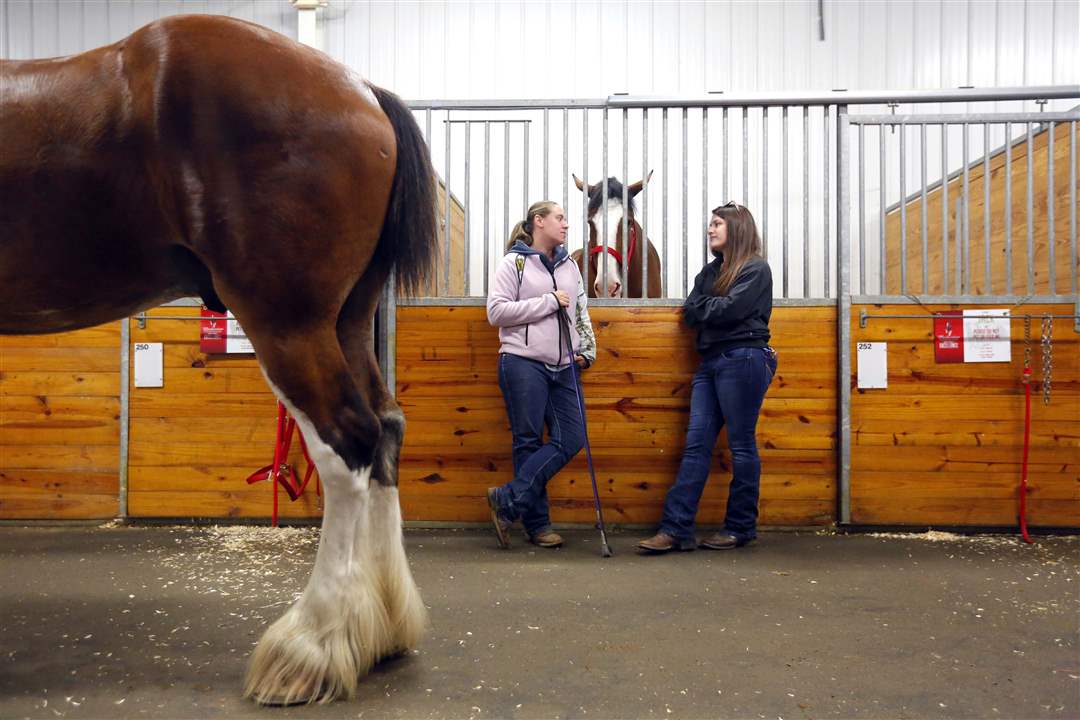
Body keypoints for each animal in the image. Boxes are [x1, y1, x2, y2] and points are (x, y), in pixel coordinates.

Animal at [2, 14, 438, 708]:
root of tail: (361, 90)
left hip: (287, 323)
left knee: (348, 443)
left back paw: (310, 649)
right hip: (345, 320)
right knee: (386, 428)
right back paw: (379, 634)